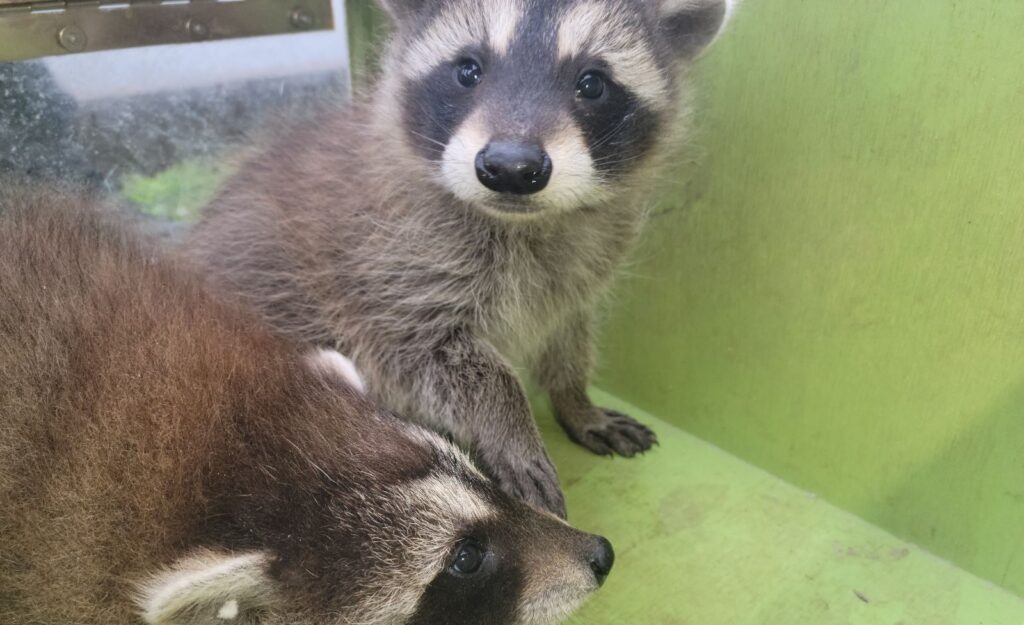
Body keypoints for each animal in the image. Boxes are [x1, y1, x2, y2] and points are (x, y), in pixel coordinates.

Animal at [189, 0, 737, 516]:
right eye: (468, 70)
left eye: (592, 83)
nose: (512, 167)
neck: (522, 222)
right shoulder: (384, 269)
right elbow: (436, 358)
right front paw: (511, 428)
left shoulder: (580, 272)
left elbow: (568, 332)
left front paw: (575, 399)